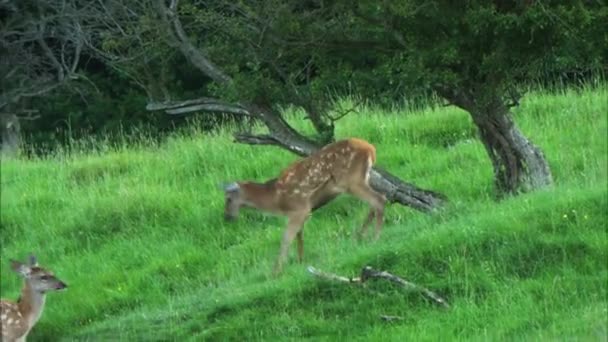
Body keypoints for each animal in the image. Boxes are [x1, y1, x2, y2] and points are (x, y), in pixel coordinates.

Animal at [226, 138, 388, 274]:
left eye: (228, 199)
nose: (227, 217)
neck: (276, 198)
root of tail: (370, 149)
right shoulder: (300, 212)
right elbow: (299, 236)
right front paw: (300, 261)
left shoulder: (300, 208)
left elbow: (286, 237)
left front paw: (276, 272)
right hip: (363, 178)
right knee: (379, 199)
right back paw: (360, 237)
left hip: (351, 180)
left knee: (378, 199)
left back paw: (375, 238)